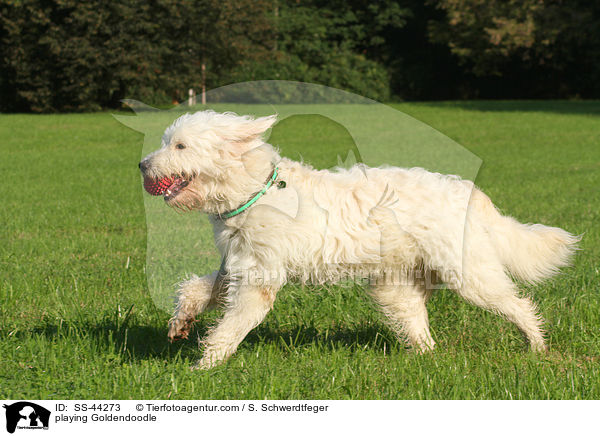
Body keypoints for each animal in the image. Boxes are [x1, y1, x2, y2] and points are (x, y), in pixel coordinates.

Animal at [138, 110, 580, 370]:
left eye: (180, 145)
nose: (142, 164)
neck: (254, 189)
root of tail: (470, 194)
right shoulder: (238, 265)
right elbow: (198, 290)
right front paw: (181, 323)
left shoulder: (259, 279)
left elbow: (233, 324)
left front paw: (206, 365)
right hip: (396, 287)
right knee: (420, 328)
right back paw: (423, 359)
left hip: (470, 276)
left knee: (519, 305)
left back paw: (537, 346)